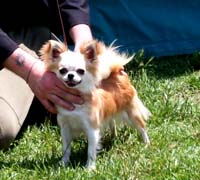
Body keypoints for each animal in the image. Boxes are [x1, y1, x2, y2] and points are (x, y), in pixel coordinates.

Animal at [39, 39, 152, 170]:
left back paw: (146, 143)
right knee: (112, 123)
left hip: (132, 112)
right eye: (62, 70)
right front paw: (64, 163)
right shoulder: (65, 127)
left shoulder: (92, 129)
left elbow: (91, 151)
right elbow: (66, 148)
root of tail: (117, 71)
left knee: (142, 127)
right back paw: (113, 137)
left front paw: (90, 168)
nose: (70, 75)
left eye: (80, 71)